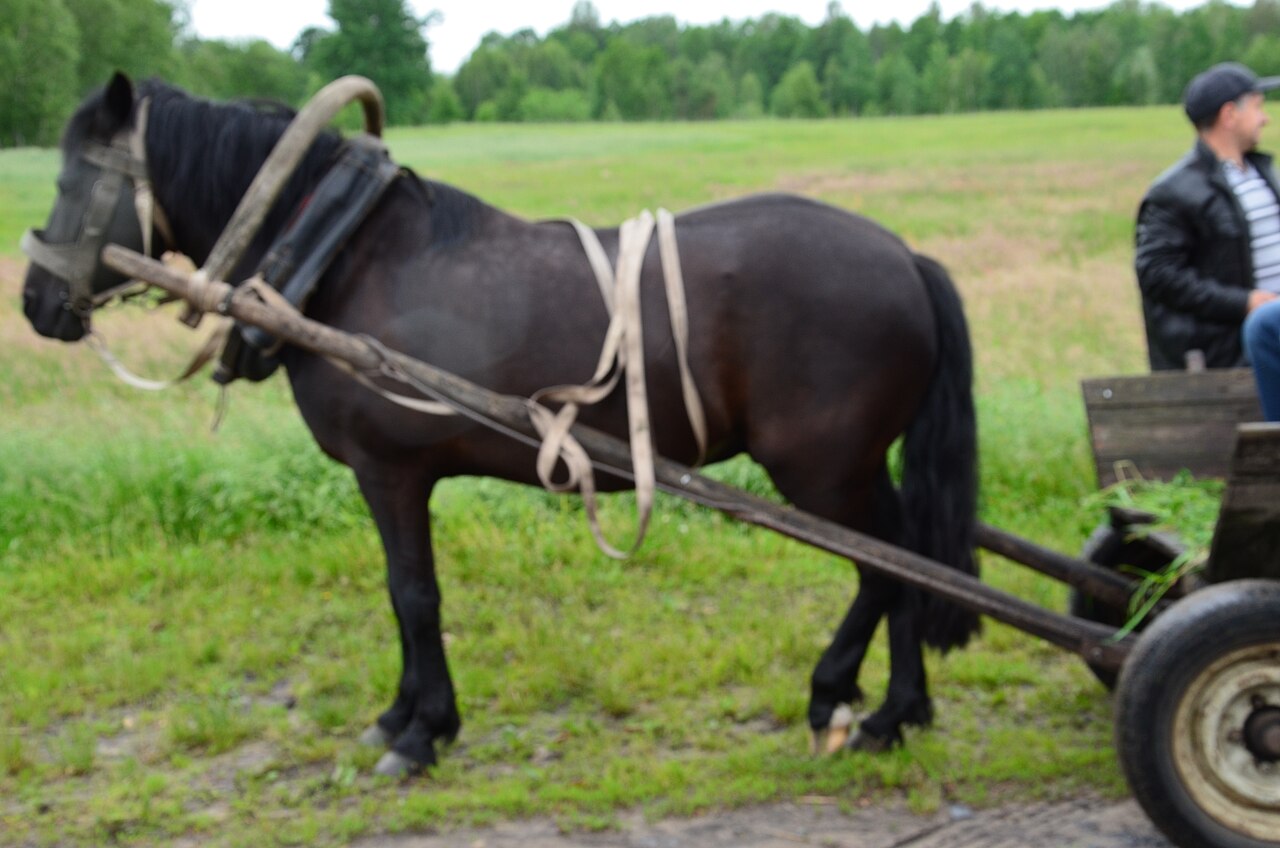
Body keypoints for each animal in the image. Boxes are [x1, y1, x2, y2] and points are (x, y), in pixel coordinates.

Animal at [22, 73, 980, 777]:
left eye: (71, 180)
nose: (35, 302)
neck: (345, 258)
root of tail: (905, 256)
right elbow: (400, 594)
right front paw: (399, 717)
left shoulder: (390, 471)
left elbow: (413, 594)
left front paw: (421, 733)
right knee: (907, 559)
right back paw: (900, 711)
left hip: (823, 469)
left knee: (888, 564)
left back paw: (844, 698)